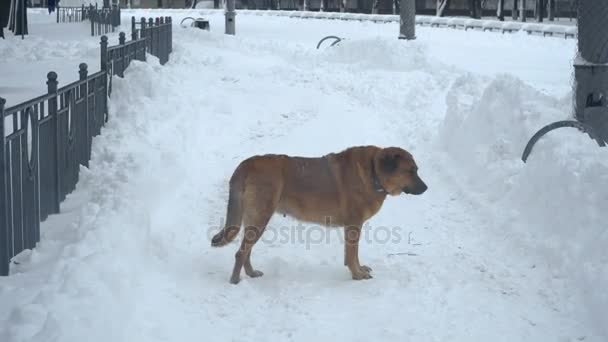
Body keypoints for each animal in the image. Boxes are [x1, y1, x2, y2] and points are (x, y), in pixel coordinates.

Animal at [213, 145, 428, 284]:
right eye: (410, 171)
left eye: (416, 170)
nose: (426, 188)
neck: (373, 171)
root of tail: (246, 164)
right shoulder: (354, 226)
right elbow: (352, 255)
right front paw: (357, 275)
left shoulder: (353, 227)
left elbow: (353, 255)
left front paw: (359, 270)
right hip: (260, 218)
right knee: (241, 253)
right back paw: (235, 281)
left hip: (256, 220)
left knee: (246, 251)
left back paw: (250, 273)